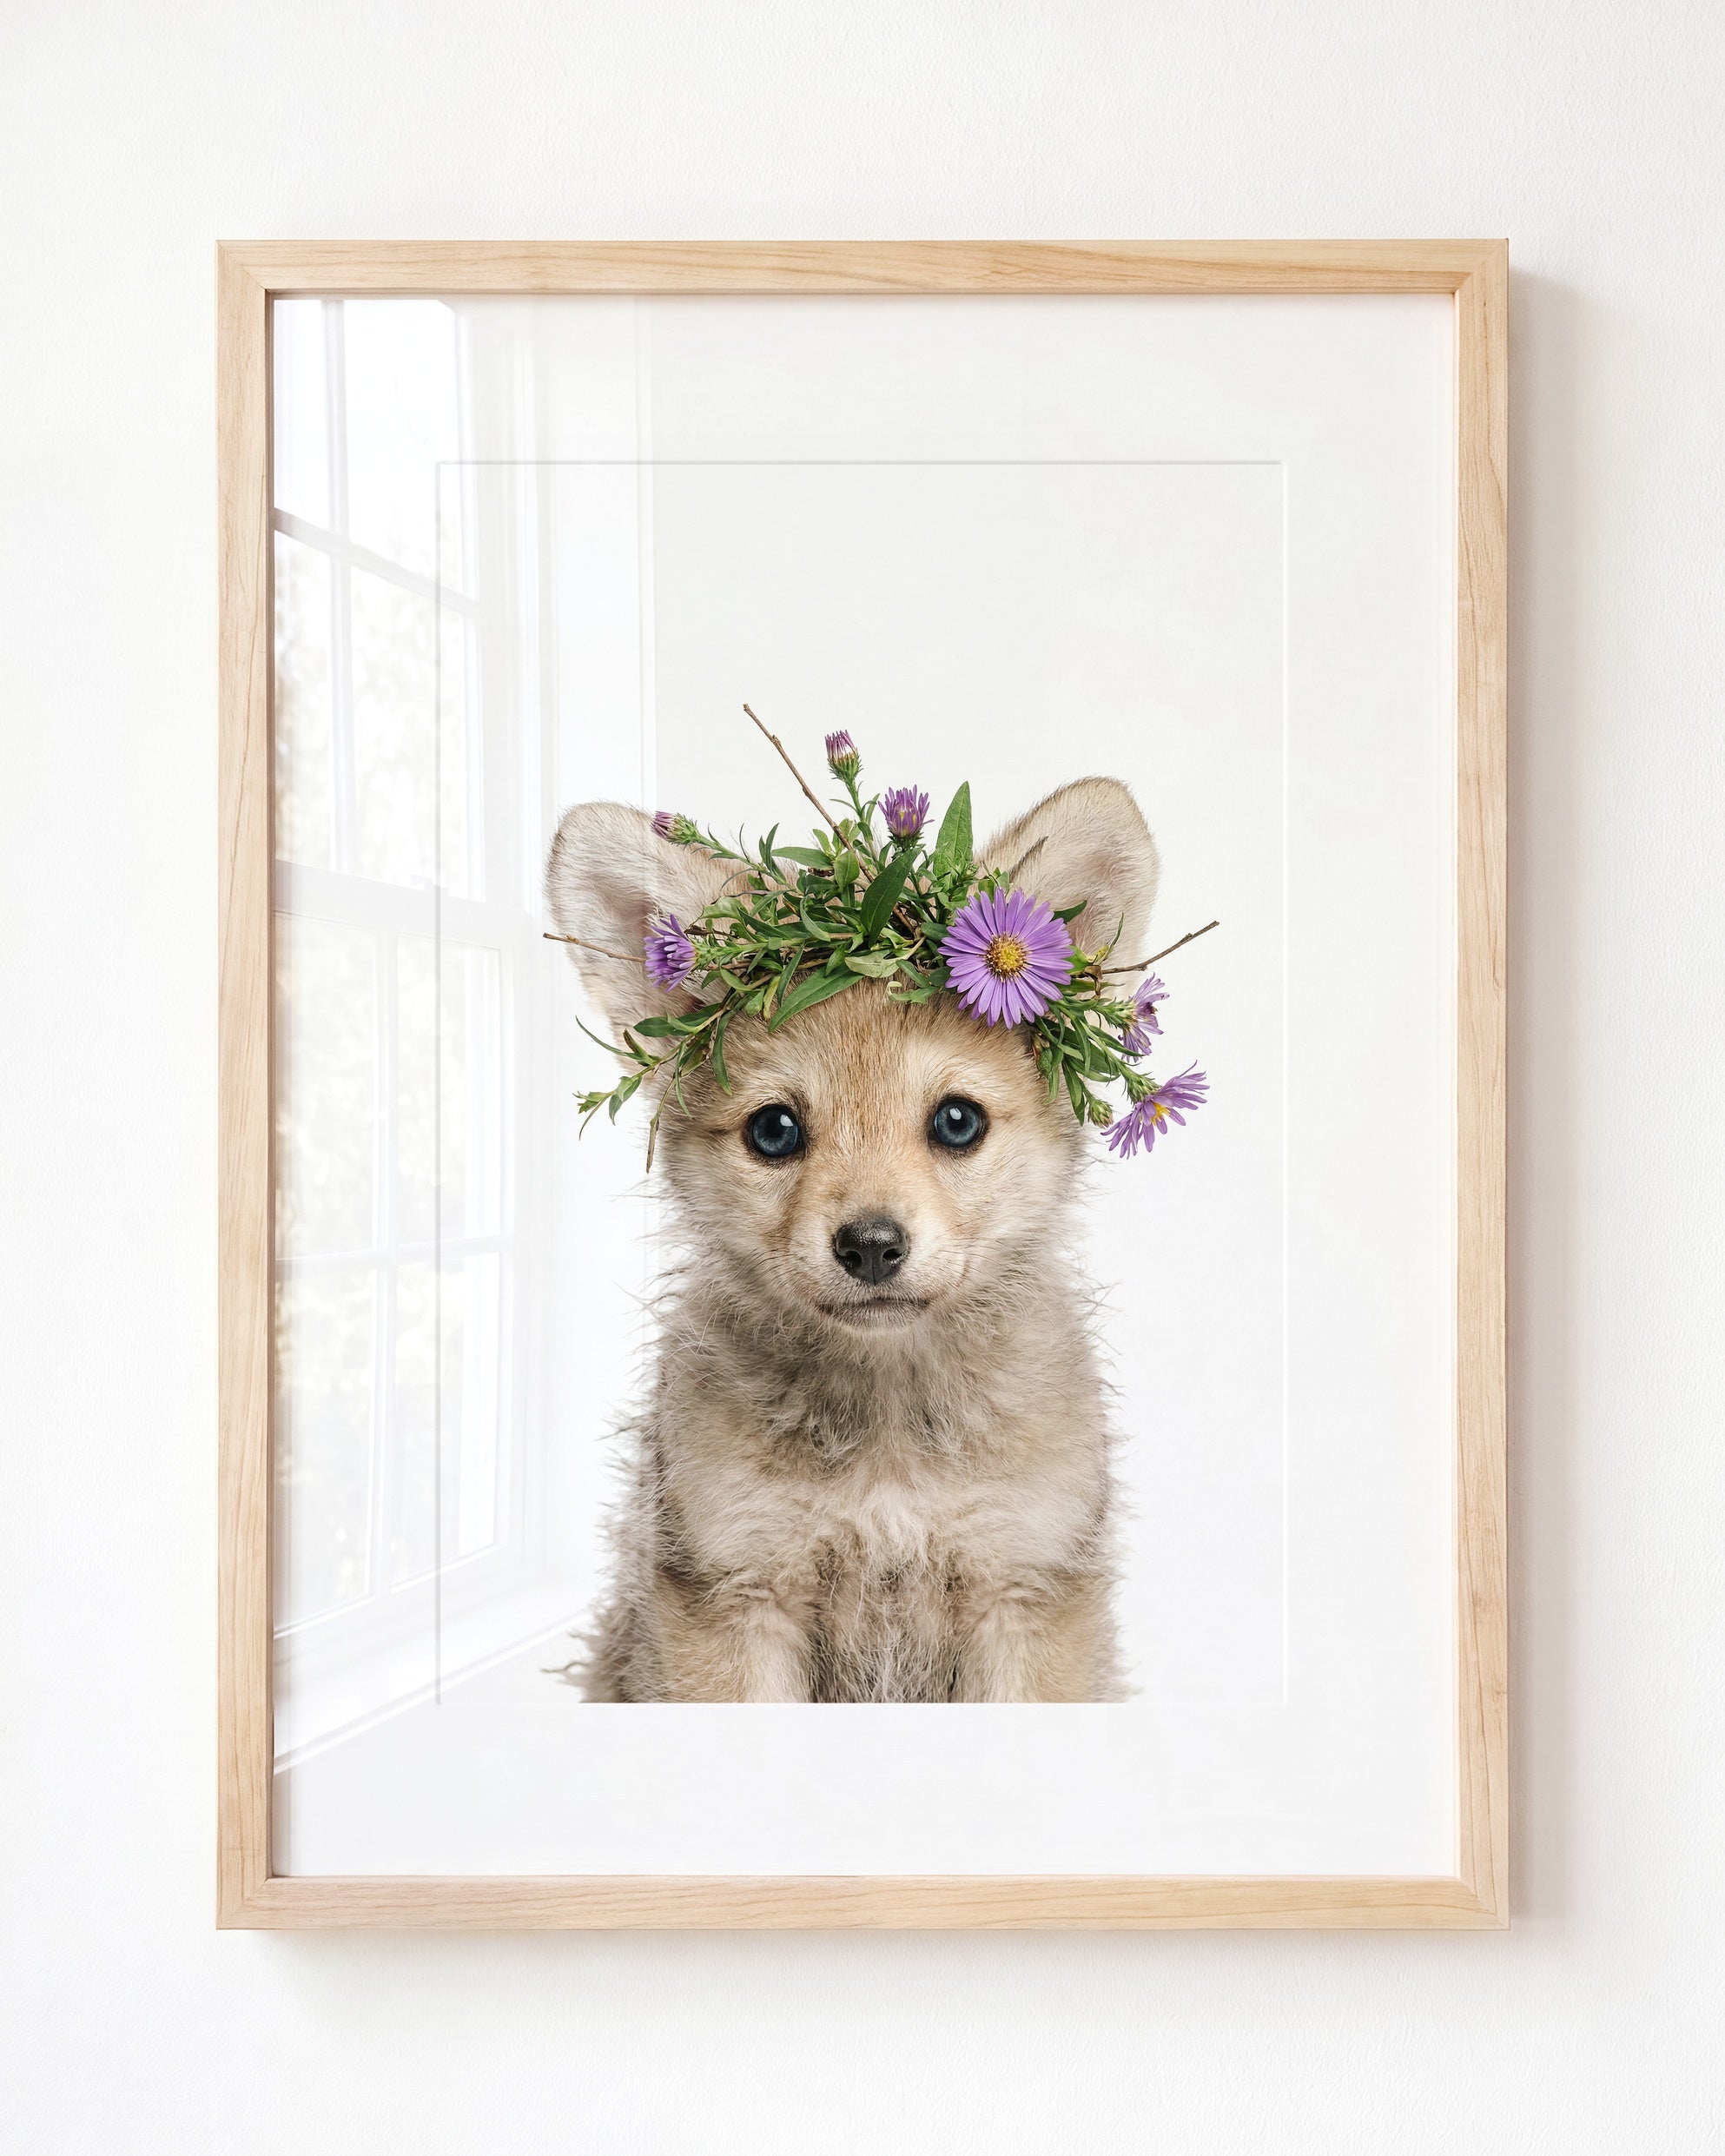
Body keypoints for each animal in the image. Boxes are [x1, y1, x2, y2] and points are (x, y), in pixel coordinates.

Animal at [545, 778, 1159, 1702]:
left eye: (956, 1121)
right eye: (774, 1132)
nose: (871, 1246)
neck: (889, 1432)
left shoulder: (1023, 1590)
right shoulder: (736, 1595)